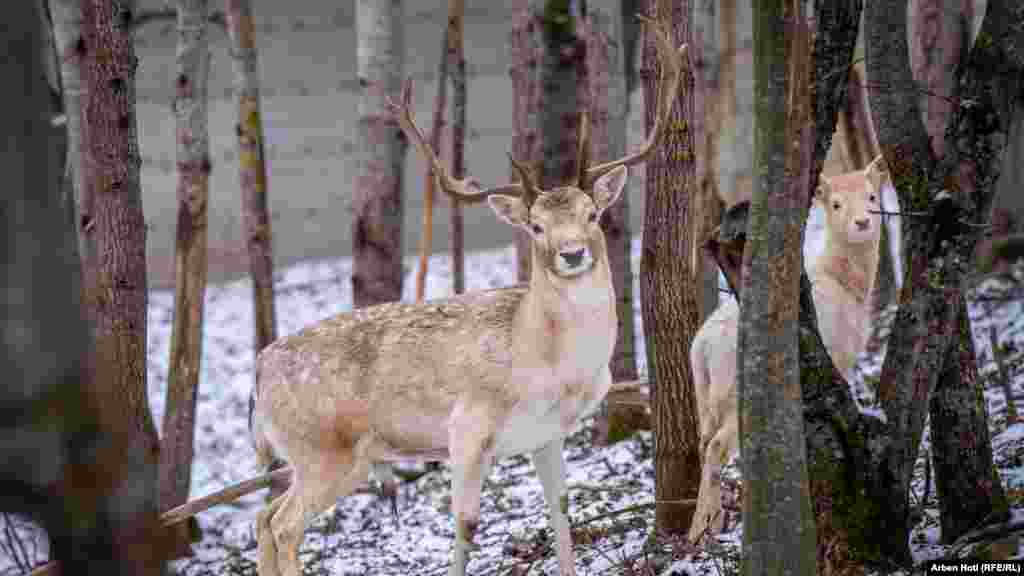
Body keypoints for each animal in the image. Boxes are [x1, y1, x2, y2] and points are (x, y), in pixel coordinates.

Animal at [243, 17, 684, 573]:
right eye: (536, 227)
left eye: (592, 214)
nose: (572, 254)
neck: (544, 362)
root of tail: (258, 373)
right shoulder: (467, 429)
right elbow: (465, 526)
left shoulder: (547, 434)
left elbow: (561, 511)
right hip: (324, 449)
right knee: (283, 526)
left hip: (332, 458)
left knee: (262, 518)